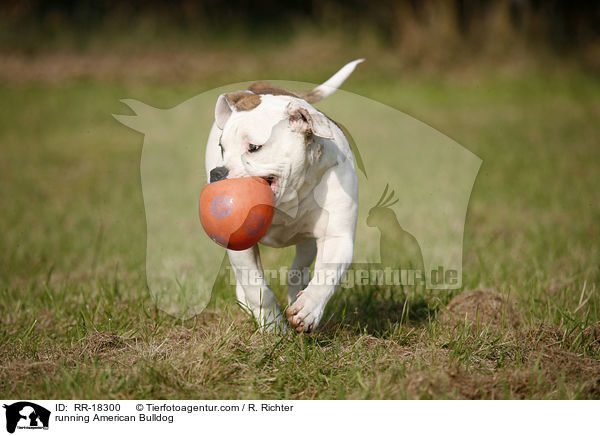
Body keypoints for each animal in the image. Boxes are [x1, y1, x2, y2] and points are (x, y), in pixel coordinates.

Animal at [204, 59, 364, 332]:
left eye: (254, 147)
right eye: (221, 148)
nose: (217, 173)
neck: (288, 198)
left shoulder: (338, 237)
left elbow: (328, 274)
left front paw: (308, 309)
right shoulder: (240, 246)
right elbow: (256, 286)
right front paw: (271, 325)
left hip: (308, 242)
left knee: (299, 268)